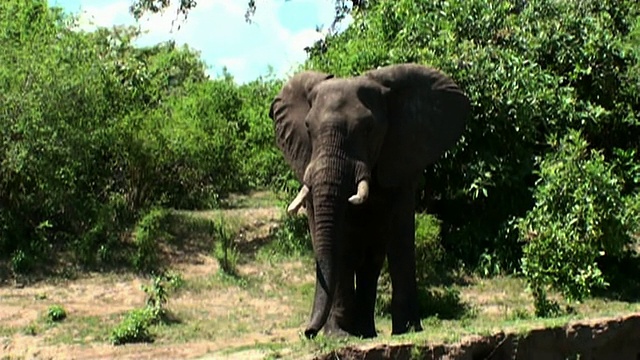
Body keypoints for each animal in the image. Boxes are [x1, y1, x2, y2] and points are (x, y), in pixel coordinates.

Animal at [268, 64, 472, 338]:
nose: (308, 332)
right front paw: (338, 335)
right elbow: (338, 244)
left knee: (372, 259)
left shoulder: (401, 157)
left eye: (368, 129)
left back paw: (367, 333)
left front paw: (407, 331)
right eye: (308, 128)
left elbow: (400, 234)